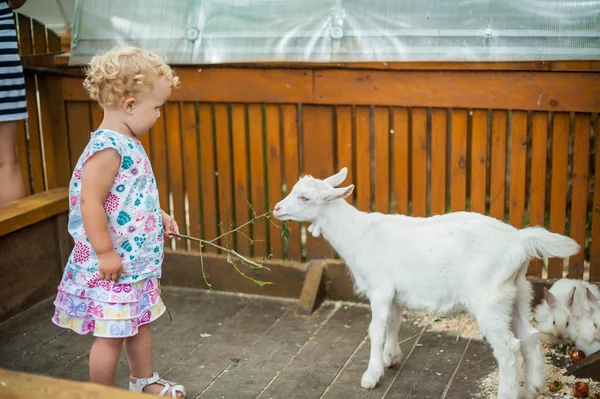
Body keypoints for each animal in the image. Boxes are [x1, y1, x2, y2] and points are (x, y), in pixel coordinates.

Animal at [274, 168, 580, 399]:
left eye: (304, 197)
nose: (276, 208)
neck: (358, 234)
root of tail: (519, 241)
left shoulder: (381, 288)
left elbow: (376, 331)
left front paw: (372, 375)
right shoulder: (394, 292)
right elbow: (393, 323)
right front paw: (391, 358)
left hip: (490, 300)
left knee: (508, 348)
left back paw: (508, 393)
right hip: (517, 292)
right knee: (529, 336)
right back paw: (531, 388)